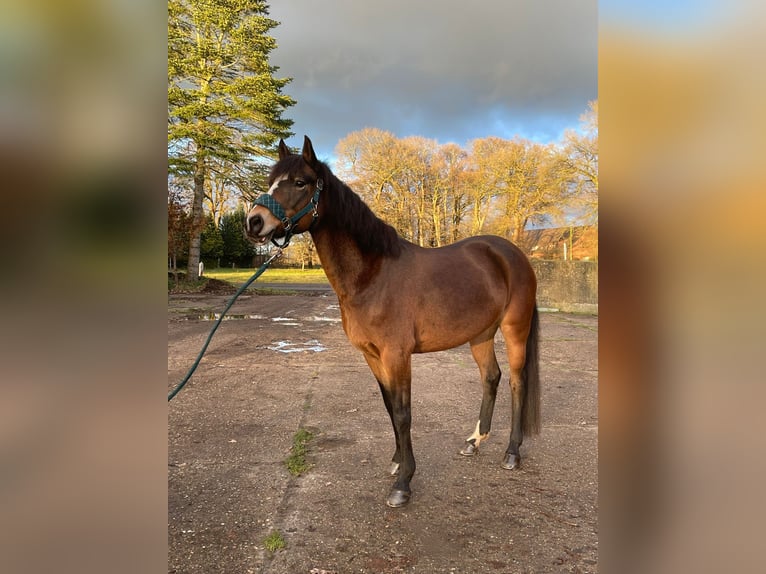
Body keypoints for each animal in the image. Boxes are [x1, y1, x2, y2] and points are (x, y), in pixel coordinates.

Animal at [246, 136, 540, 508]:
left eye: (300, 182)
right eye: (271, 181)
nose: (254, 222)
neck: (372, 275)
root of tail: (512, 254)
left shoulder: (397, 355)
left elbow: (403, 413)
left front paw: (403, 483)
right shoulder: (372, 356)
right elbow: (389, 408)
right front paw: (398, 462)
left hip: (515, 329)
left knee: (517, 382)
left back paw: (512, 453)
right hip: (480, 335)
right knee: (491, 378)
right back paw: (474, 441)